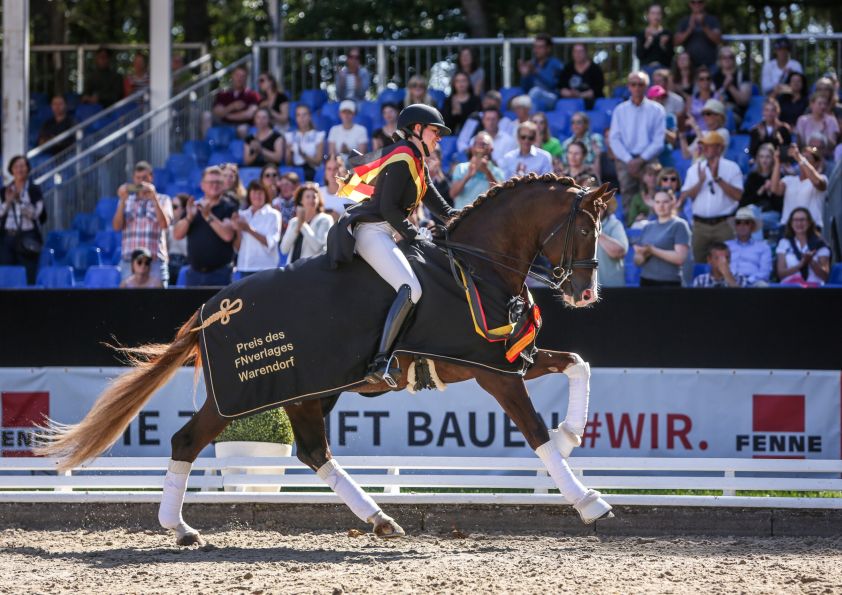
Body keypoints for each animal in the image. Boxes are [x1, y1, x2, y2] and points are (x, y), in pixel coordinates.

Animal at [36, 173, 616, 546]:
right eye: (583, 230)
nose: (586, 295)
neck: (477, 267)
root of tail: (211, 307)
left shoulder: (510, 358)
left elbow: (577, 363)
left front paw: (572, 433)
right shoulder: (492, 371)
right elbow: (536, 434)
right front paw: (590, 501)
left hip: (306, 390)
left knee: (312, 451)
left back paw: (378, 519)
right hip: (245, 397)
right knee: (190, 440)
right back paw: (179, 529)